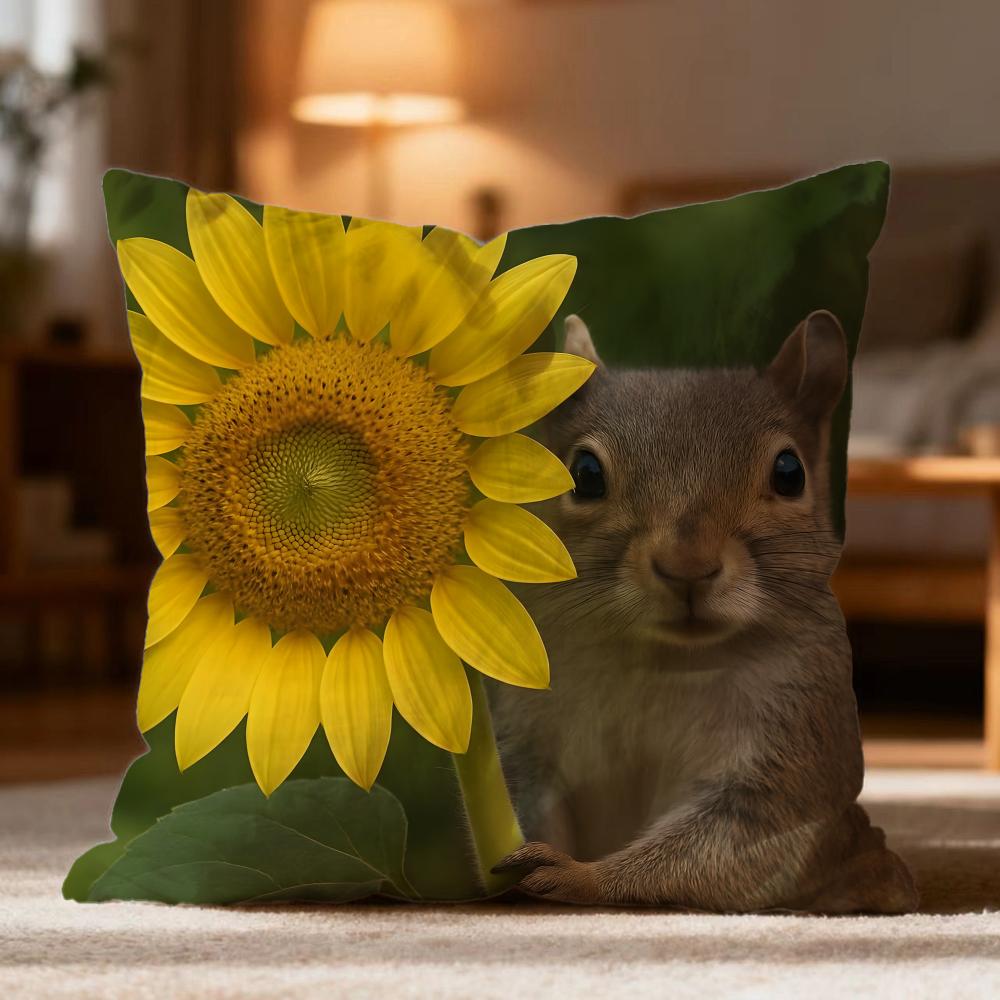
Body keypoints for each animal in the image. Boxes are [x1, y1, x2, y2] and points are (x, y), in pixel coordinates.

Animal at [490, 311, 919, 914]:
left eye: (790, 472)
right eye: (584, 474)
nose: (687, 567)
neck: (663, 657)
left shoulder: (788, 745)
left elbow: (733, 841)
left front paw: (579, 876)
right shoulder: (529, 732)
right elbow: (529, 801)